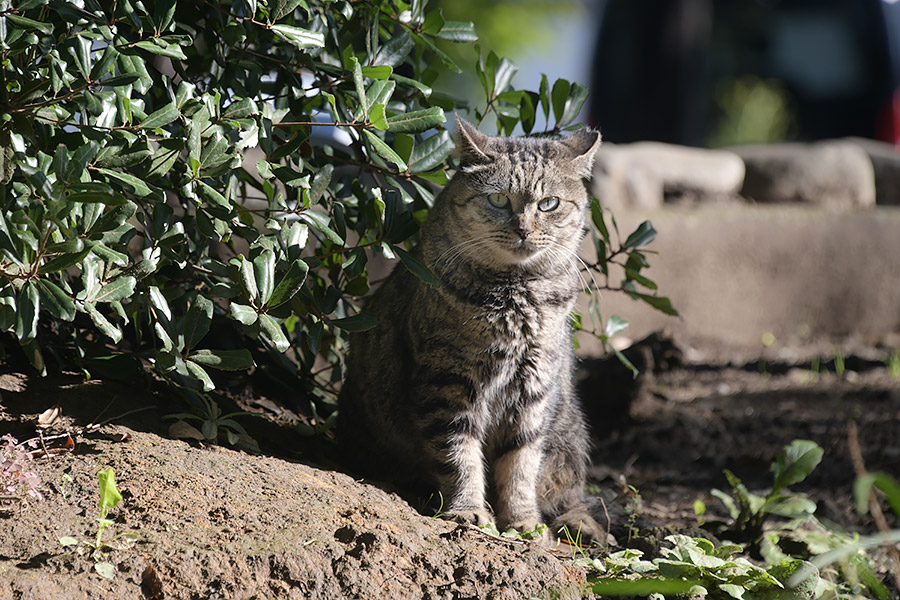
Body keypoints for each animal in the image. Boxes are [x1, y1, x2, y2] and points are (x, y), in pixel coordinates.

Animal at [338, 115, 604, 540]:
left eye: (548, 204)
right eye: (498, 200)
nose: (523, 229)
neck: (515, 296)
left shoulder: (534, 389)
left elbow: (521, 464)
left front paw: (523, 521)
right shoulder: (448, 384)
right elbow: (458, 454)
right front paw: (469, 510)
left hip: (568, 438)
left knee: (572, 496)